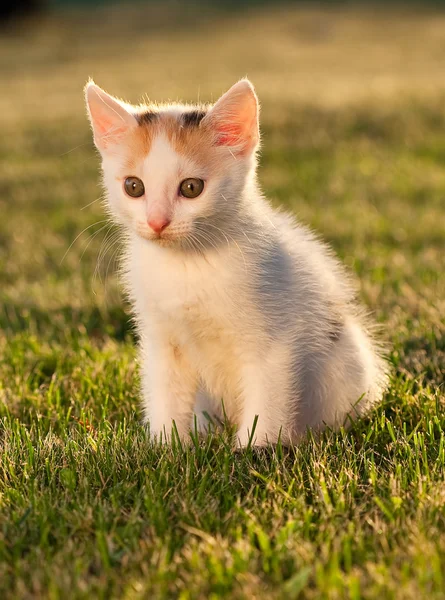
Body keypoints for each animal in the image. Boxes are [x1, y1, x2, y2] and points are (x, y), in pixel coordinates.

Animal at [84, 78, 388, 446]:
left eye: (191, 188)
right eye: (133, 186)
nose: (157, 222)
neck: (186, 265)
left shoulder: (275, 340)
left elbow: (267, 398)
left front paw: (255, 449)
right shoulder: (161, 339)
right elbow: (166, 392)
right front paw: (166, 446)